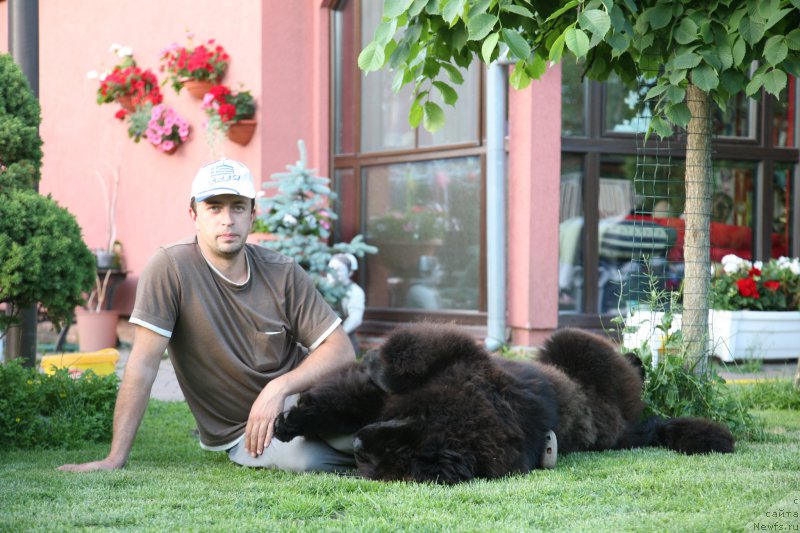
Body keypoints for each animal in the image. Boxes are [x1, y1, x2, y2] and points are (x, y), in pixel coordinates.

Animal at [274, 322, 732, 484]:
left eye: (392, 456)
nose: (356, 446)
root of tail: (626, 430)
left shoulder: (460, 357)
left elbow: (395, 362)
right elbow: (356, 391)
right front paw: (290, 420)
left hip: (573, 344)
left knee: (624, 366)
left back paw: (638, 360)